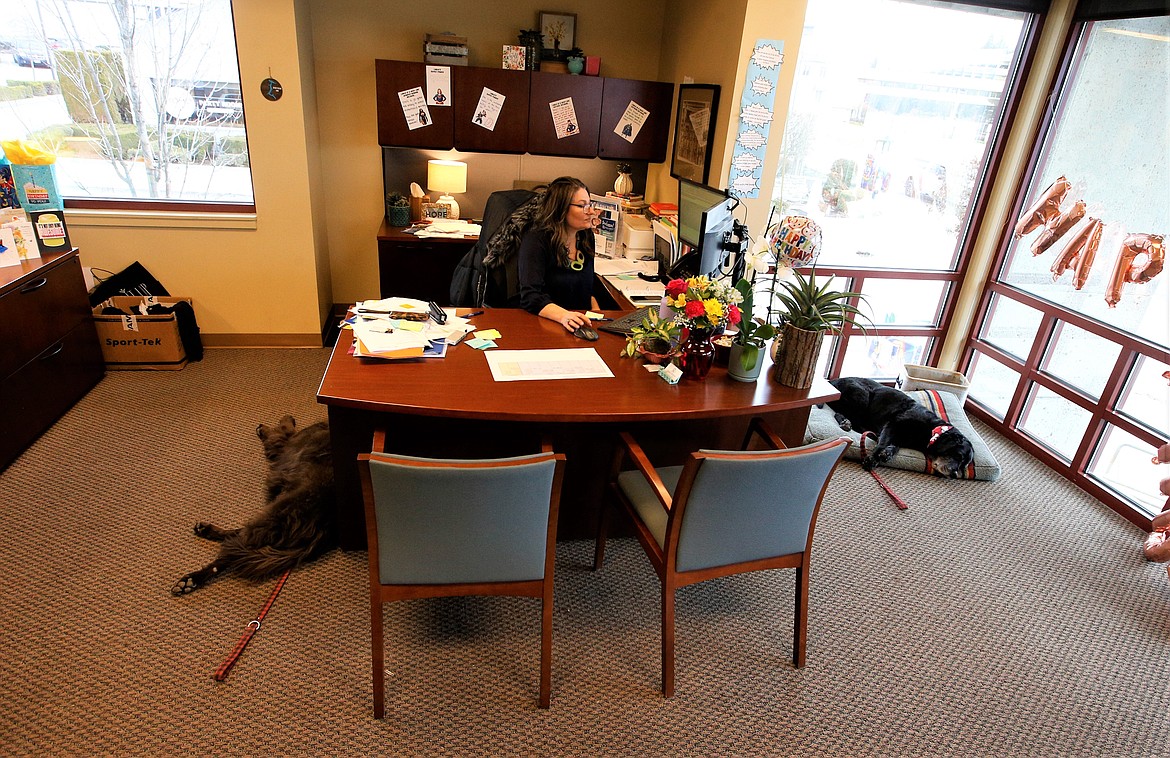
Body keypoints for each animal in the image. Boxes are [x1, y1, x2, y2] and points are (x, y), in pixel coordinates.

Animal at [173, 416, 339, 594]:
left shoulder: (284, 442)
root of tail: (327, 530)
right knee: (237, 537)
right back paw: (207, 530)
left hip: (275, 515)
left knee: (232, 553)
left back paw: (192, 579)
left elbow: (283, 429)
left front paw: (278, 423)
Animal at [823, 376, 978, 477]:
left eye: (964, 466)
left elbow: (895, 446)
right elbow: (882, 443)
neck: (931, 431)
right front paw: (872, 459)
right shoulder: (893, 424)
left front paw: (887, 453)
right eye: (957, 456)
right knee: (842, 413)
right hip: (862, 395)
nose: (954, 474)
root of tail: (832, 381)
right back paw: (847, 422)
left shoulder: (899, 437)